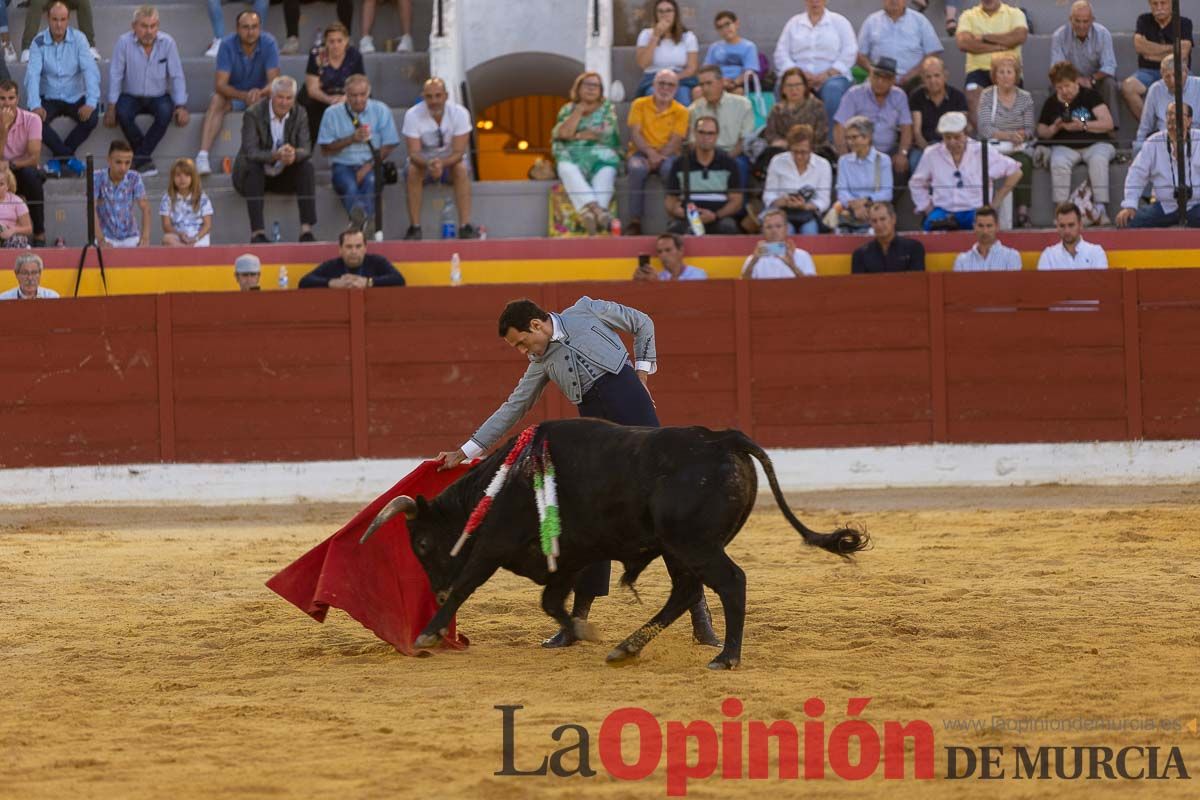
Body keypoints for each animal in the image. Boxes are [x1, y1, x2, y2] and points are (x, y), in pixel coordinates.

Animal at [360, 419, 868, 671]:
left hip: (693, 544)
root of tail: (725, 439)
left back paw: (726, 657)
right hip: (678, 549)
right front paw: (580, 632)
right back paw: (627, 648)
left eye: (423, 542)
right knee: (685, 592)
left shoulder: (492, 547)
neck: (502, 484)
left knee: (731, 583)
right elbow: (552, 602)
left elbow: (470, 584)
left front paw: (427, 632)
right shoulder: (569, 559)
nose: (437, 591)